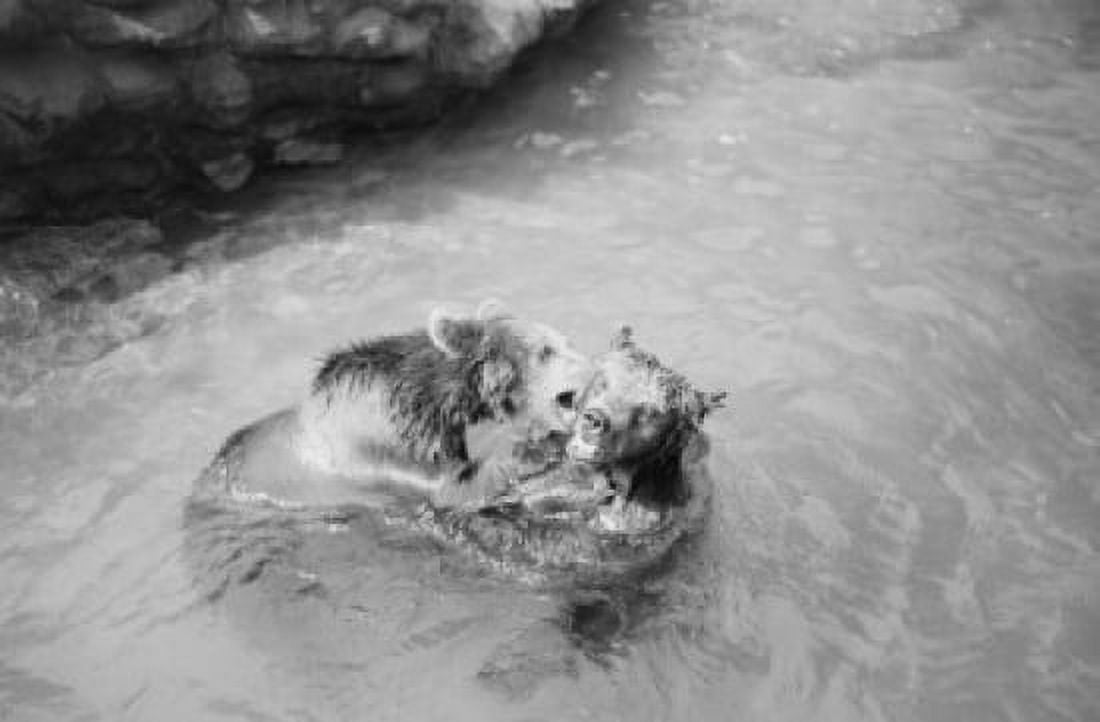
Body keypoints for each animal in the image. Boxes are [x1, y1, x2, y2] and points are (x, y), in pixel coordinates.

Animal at [192, 302, 593, 511]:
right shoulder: (378, 451)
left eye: (567, 342)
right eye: (546, 350)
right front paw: (535, 452)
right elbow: (458, 490)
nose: (593, 370)